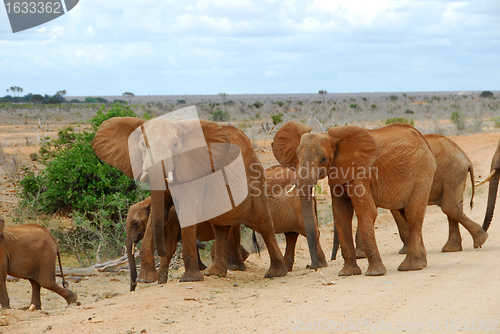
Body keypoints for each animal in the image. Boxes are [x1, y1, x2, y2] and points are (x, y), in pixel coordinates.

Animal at [93, 117, 290, 282]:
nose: (160, 251)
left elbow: (186, 209)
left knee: (263, 222)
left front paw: (189, 279)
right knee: (221, 227)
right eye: (142, 144)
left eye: (175, 145)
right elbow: (160, 211)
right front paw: (147, 280)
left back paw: (275, 273)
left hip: (254, 180)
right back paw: (215, 273)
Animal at [272, 121, 436, 276]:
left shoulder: (361, 173)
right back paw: (422, 263)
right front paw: (347, 273)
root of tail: (423, 138)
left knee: (413, 214)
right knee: (406, 214)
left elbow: (366, 211)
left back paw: (410, 267)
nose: (312, 267)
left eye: (323, 159)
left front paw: (375, 273)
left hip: (422, 174)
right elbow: (341, 213)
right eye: (296, 156)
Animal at [352, 134, 488, 258]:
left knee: (450, 207)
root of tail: (466, 158)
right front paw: (360, 255)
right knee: (451, 208)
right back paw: (454, 248)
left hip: (453, 174)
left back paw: (479, 241)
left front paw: (404, 251)